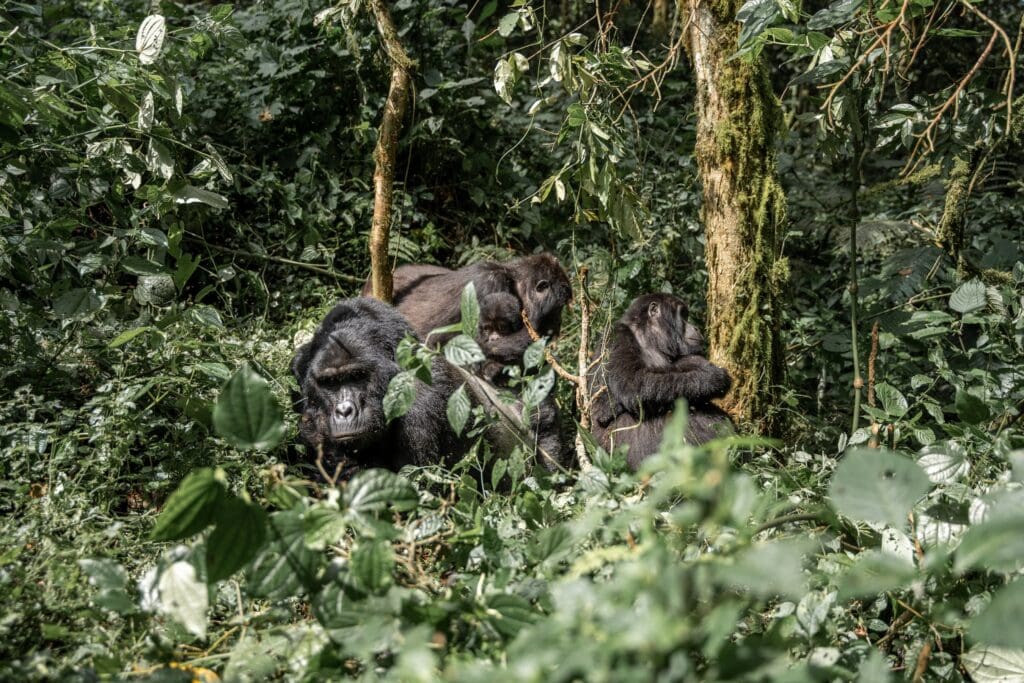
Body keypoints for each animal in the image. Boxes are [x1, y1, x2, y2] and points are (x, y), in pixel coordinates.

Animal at [589, 294, 733, 471]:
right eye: (683, 315)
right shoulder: (618, 337)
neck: (647, 336)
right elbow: (632, 386)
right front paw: (712, 378)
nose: (696, 328)